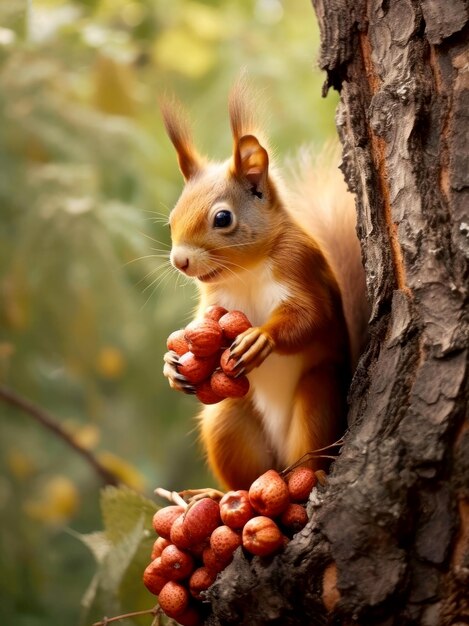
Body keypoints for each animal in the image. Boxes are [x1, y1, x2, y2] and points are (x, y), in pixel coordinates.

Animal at [162, 83, 370, 490]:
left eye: (222, 218)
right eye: (172, 217)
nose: (180, 261)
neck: (246, 272)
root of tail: (283, 465)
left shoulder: (301, 268)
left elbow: (311, 315)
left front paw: (261, 337)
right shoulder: (213, 301)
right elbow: (198, 325)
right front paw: (172, 365)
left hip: (317, 398)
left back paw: (312, 476)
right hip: (230, 417)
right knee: (248, 474)